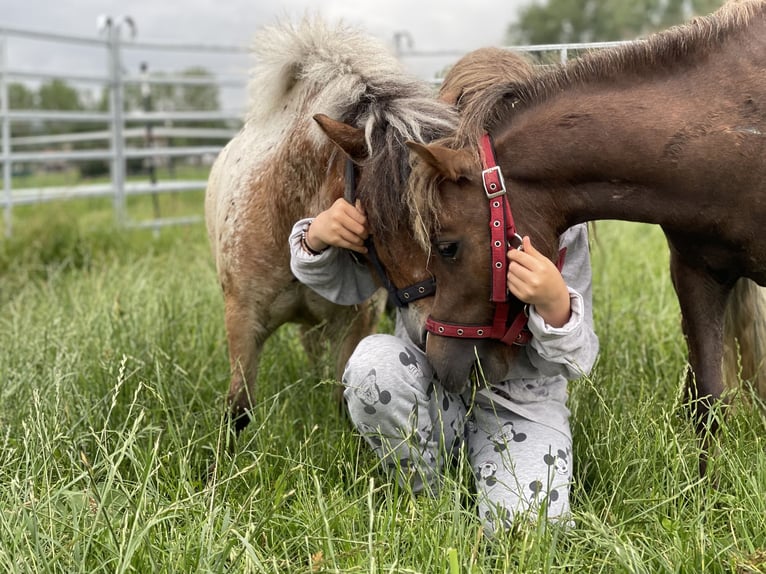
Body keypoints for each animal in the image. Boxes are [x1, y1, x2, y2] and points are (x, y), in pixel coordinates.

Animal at [204, 17, 456, 436]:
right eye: (378, 223)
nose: (436, 336)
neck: (284, 208)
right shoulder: (242, 323)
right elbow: (238, 411)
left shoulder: (353, 326)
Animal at [403, 0, 766, 475]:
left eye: (447, 247)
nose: (440, 362)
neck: (734, 135)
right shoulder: (696, 273)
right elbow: (708, 398)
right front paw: (705, 490)